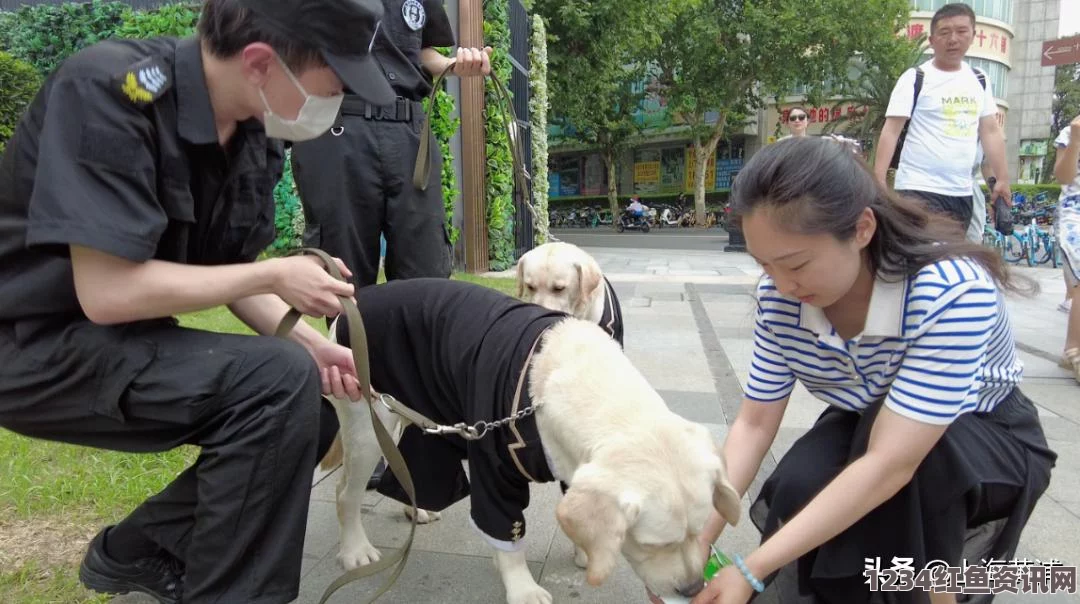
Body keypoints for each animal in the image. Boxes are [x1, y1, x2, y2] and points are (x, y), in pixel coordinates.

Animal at [324, 280, 738, 604]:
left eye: (699, 532)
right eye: (654, 545)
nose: (693, 588)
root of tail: (353, 302)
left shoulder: (574, 466)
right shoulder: (494, 467)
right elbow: (505, 530)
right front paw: (521, 587)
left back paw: (417, 509)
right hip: (367, 422)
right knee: (345, 492)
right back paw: (355, 550)